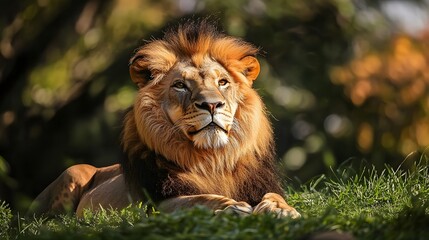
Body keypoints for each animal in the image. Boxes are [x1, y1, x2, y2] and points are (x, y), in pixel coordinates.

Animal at [28, 19, 300, 218]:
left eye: (223, 82)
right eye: (180, 85)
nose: (212, 104)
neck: (213, 160)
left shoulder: (261, 186)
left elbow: (276, 197)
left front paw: (281, 210)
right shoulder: (154, 204)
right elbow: (196, 200)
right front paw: (230, 207)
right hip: (72, 173)